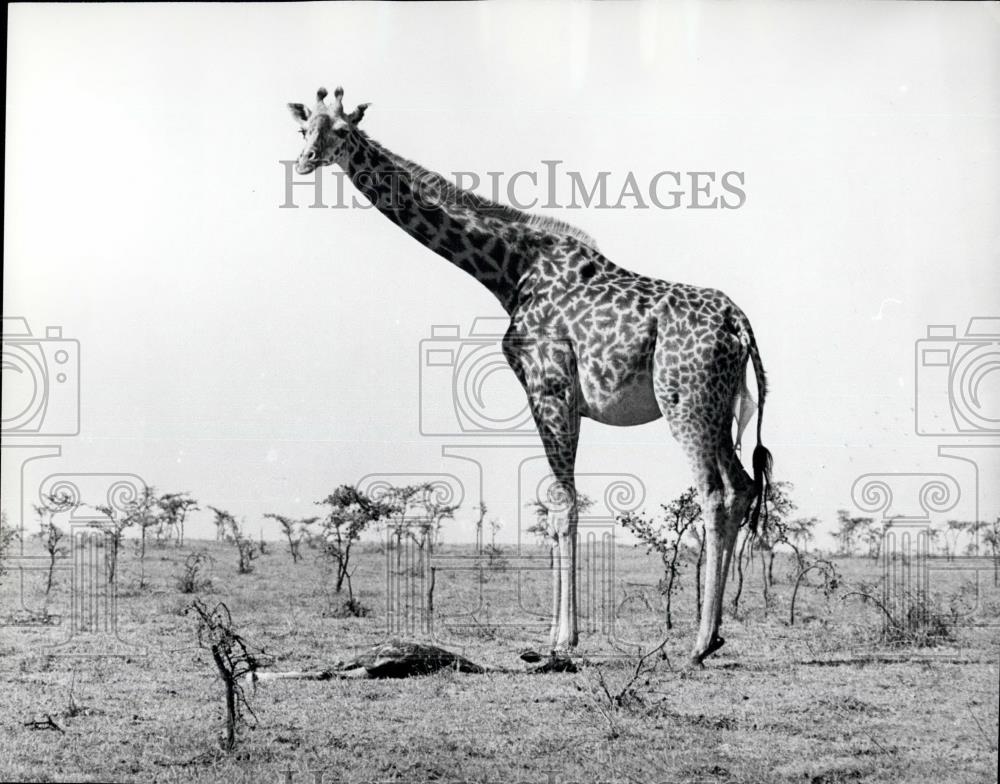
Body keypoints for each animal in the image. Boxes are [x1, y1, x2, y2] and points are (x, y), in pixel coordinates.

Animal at [287, 86, 772, 666]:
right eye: (303, 129)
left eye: (341, 130)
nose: (304, 161)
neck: (508, 270)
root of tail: (739, 324)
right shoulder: (556, 397)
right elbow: (561, 504)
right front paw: (560, 636)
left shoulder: (550, 389)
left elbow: (563, 506)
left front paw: (560, 640)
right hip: (717, 408)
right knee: (743, 487)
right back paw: (715, 634)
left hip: (686, 403)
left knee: (714, 494)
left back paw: (697, 644)